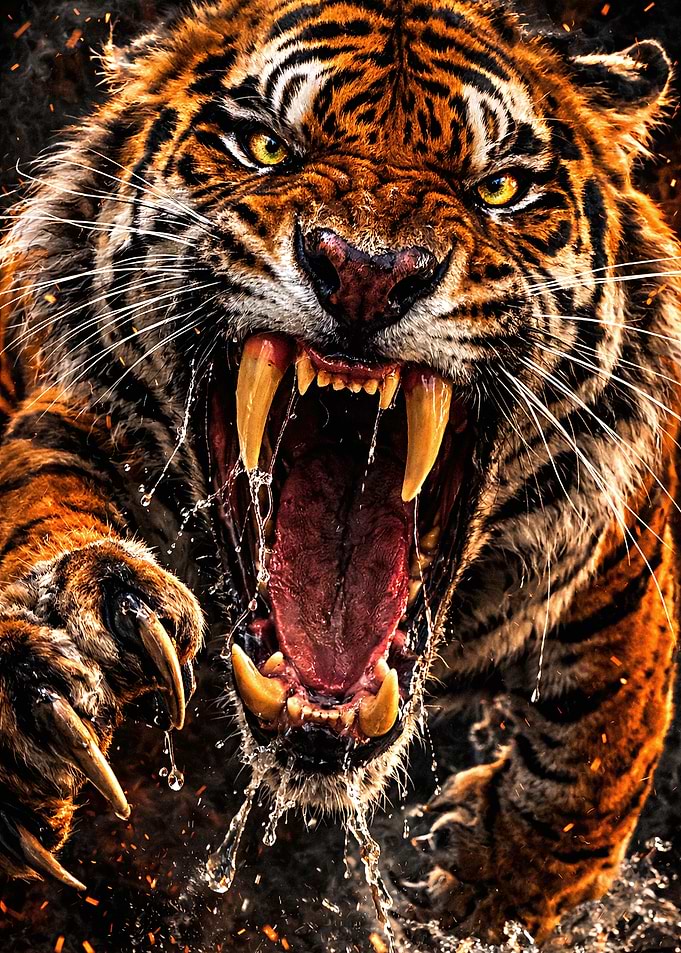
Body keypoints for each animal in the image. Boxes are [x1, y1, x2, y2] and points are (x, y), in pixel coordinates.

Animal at [0, 0, 679, 945]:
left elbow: (603, 740)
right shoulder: (70, 416)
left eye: (499, 190)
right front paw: (64, 651)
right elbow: (44, 503)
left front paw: (490, 882)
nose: (367, 270)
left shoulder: (623, 551)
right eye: (264, 147)